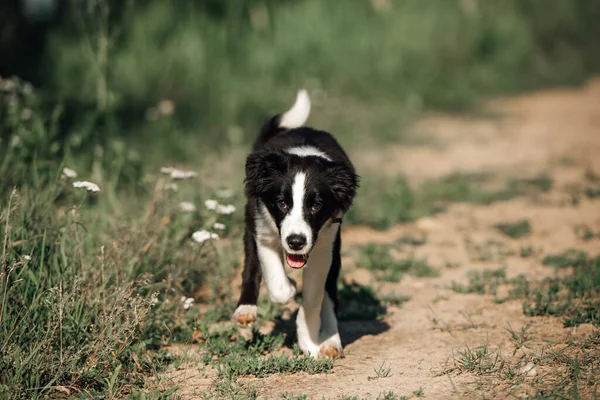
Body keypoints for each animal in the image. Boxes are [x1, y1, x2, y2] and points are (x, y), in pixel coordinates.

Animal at [232, 89, 358, 358]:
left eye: (316, 206)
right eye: (281, 203)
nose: (296, 242)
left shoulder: (323, 245)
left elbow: (314, 297)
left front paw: (309, 339)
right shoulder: (263, 228)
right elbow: (277, 285)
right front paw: (289, 287)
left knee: (329, 293)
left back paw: (331, 340)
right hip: (251, 222)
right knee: (251, 266)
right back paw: (246, 309)